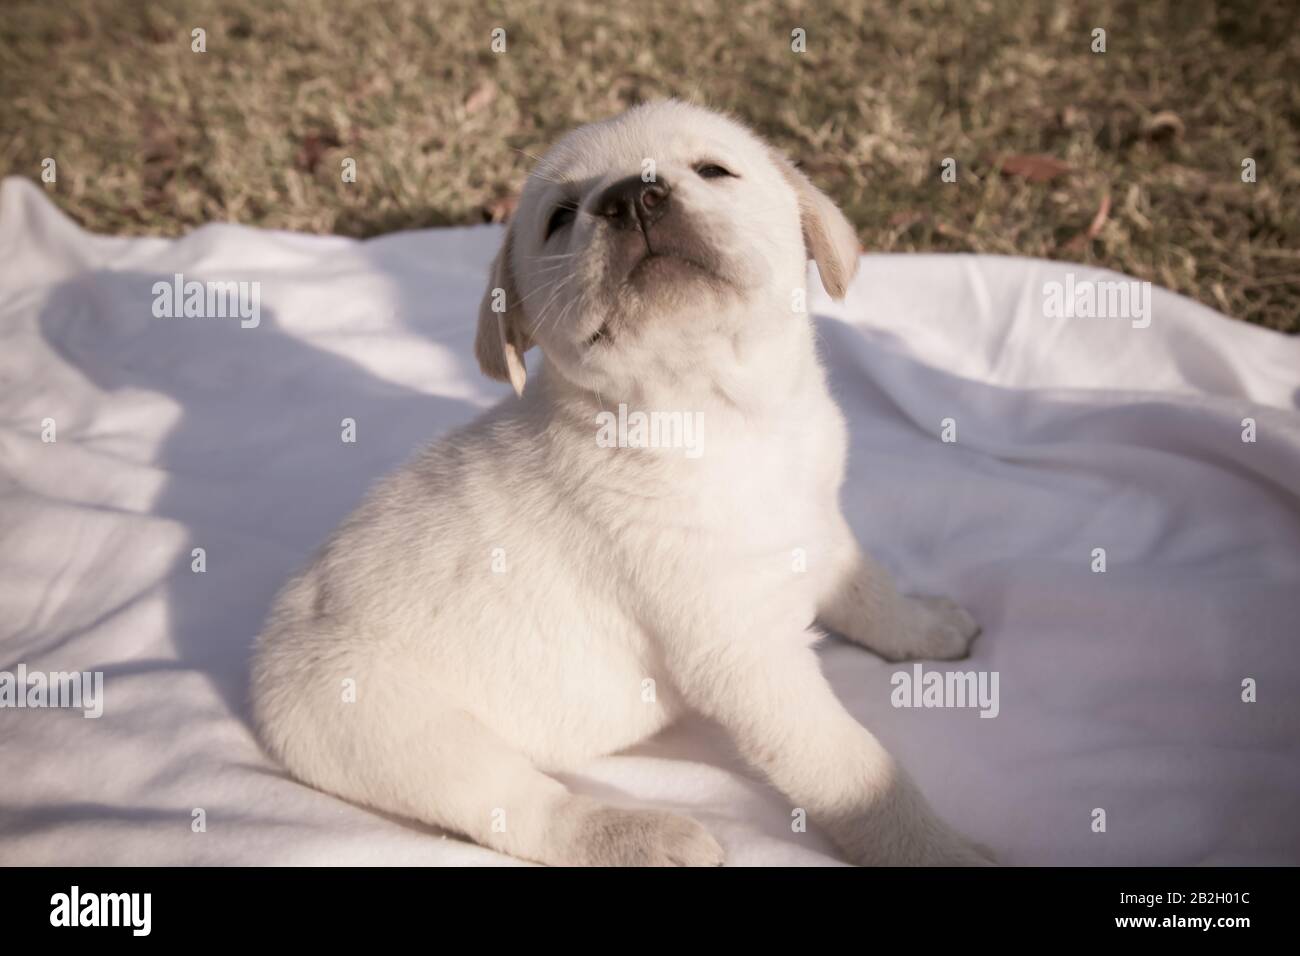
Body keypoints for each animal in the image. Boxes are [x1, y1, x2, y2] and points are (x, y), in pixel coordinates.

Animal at [250, 98, 982, 868]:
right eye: (560, 216)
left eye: (713, 170)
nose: (632, 195)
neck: (715, 418)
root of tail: (264, 651)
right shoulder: (746, 656)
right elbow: (855, 770)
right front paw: (937, 850)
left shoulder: (820, 525)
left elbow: (870, 590)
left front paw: (925, 625)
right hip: (393, 731)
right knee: (525, 810)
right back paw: (646, 836)